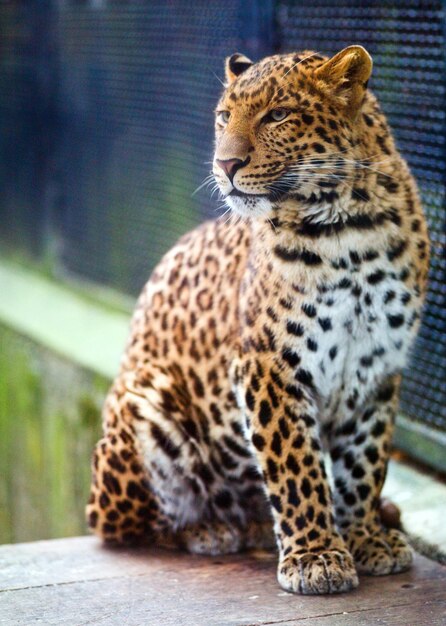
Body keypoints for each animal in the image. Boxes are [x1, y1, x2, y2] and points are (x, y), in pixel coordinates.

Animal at [85, 46, 430, 592]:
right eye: (224, 117)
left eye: (278, 115)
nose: (225, 164)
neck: (348, 228)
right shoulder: (272, 366)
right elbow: (296, 466)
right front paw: (316, 556)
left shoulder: (377, 368)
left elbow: (365, 462)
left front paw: (365, 536)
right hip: (145, 401)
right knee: (118, 525)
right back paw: (211, 528)